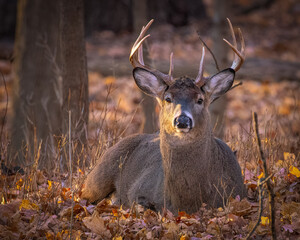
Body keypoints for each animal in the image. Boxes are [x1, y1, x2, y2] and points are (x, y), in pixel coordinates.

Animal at [81, 19, 246, 214]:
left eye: (200, 99)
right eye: (168, 98)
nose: (182, 120)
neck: (188, 201)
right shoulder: (139, 190)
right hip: (97, 176)